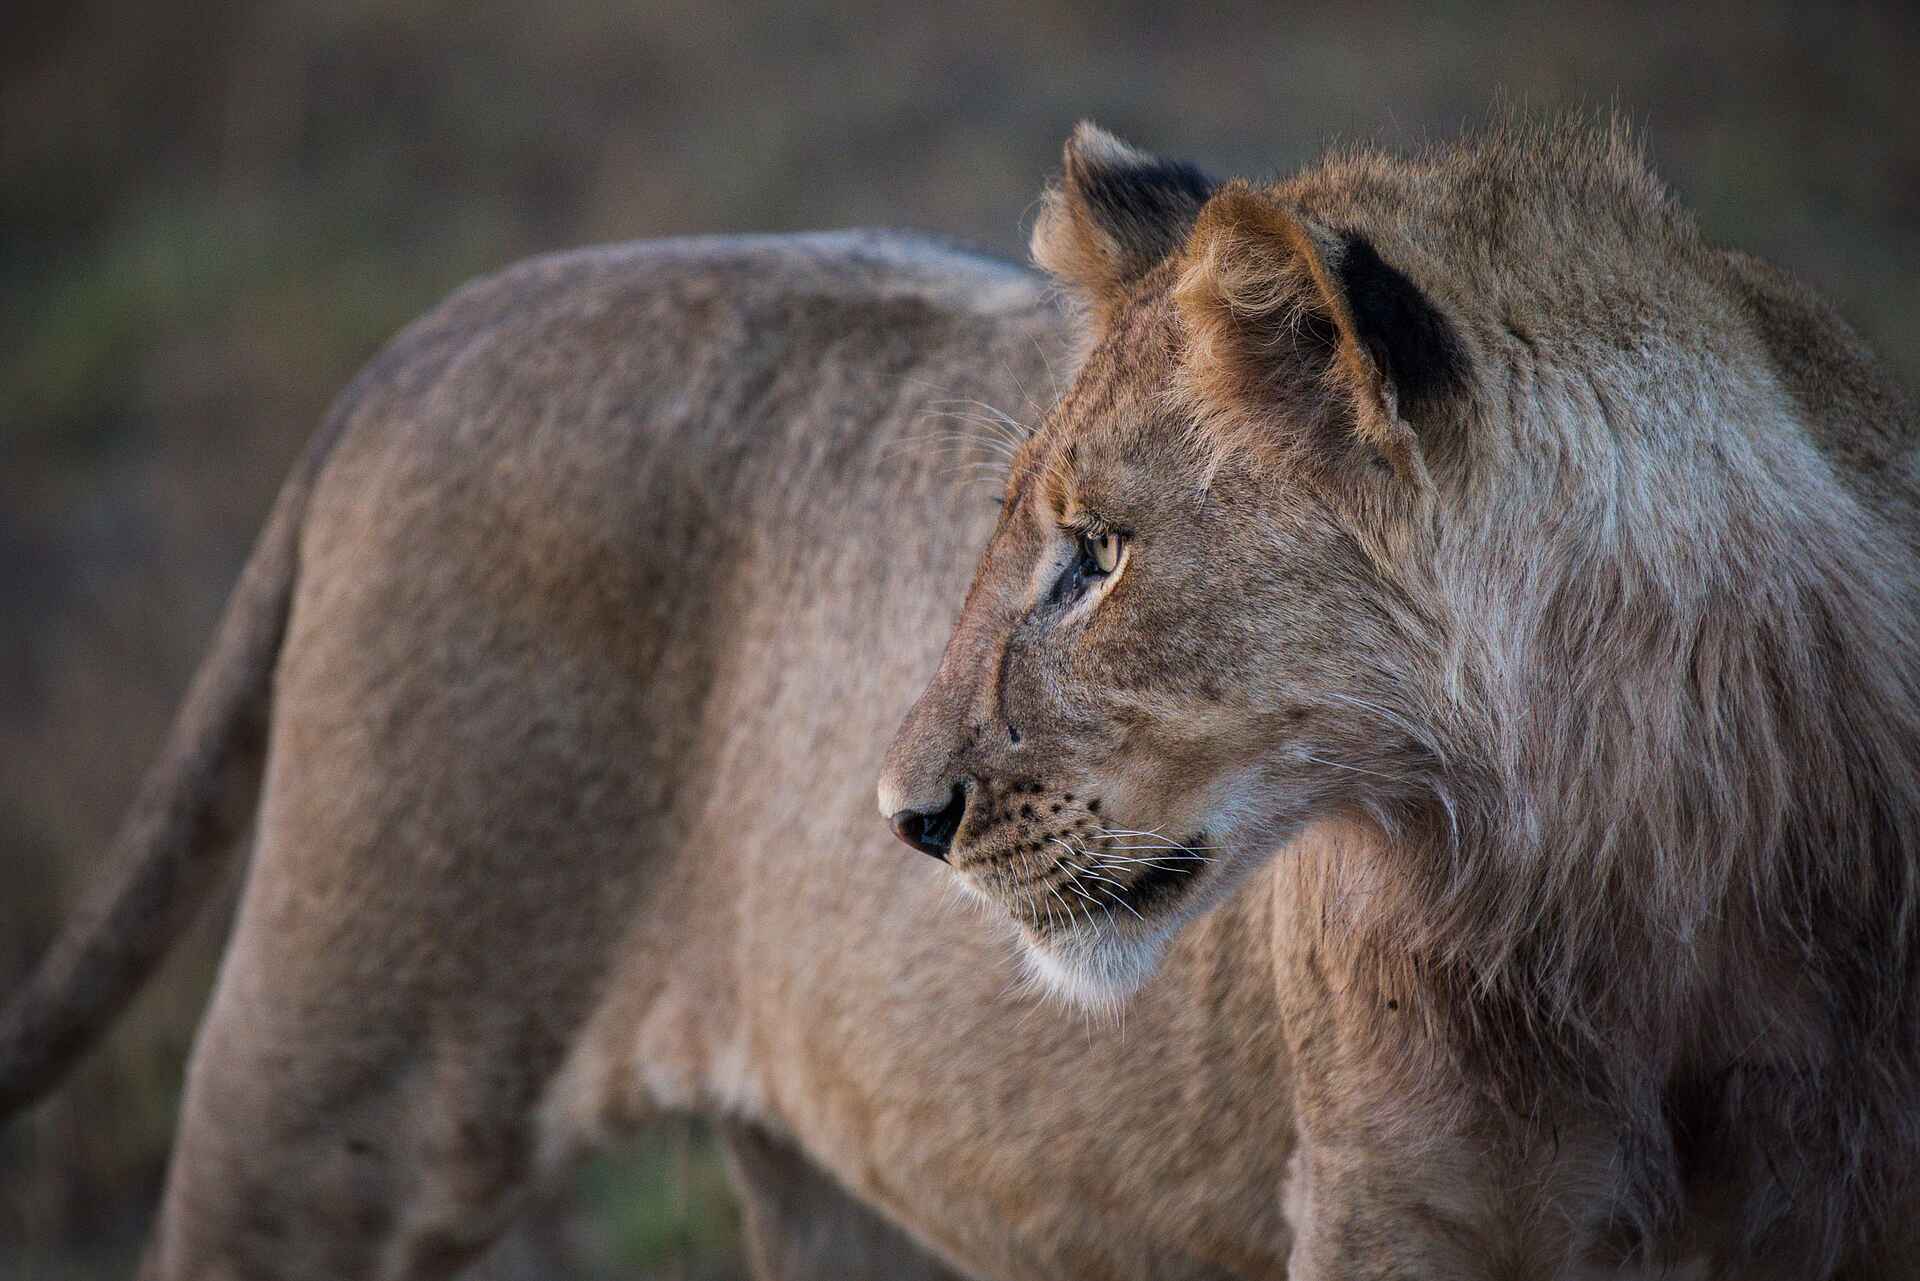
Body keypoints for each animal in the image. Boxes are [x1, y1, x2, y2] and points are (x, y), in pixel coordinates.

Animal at [5, 119, 1920, 1281]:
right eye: (1016, 539)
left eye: (1096, 557)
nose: (898, 820)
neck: (1641, 844)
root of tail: (415, 344)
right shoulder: (1405, 1210)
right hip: (327, 1108)